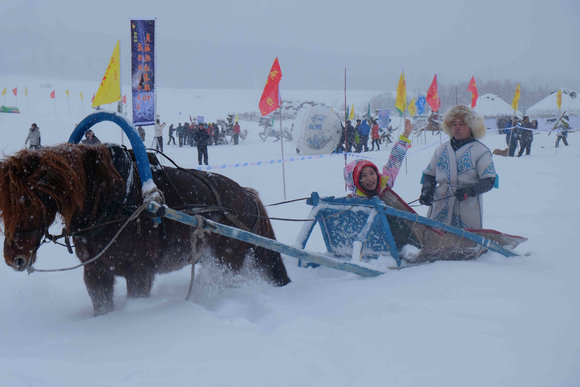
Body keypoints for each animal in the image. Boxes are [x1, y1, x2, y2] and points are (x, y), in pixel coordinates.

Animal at [0, 144, 290, 316]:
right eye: (5, 207)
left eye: (30, 202)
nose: (14, 258)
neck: (115, 201)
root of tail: (247, 196)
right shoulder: (95, 272)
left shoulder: (139, 272)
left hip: (227, 260)